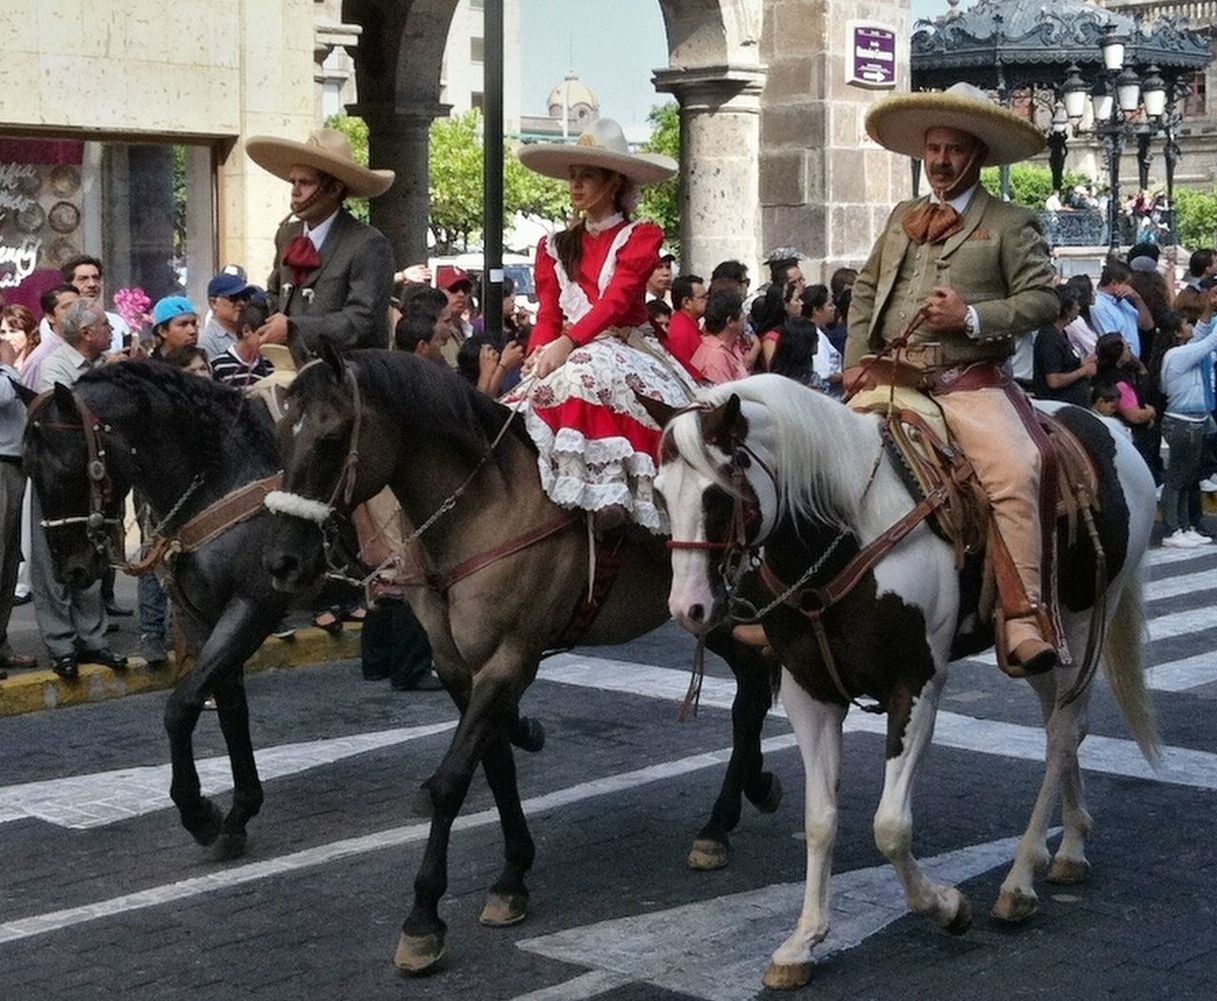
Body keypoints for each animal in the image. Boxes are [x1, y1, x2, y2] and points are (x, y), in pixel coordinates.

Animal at [647, 374, 1158, 992]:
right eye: (658, 494)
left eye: (718, 497)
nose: (689, 608)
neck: (845, 531)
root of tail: (1114, 432)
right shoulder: (809, 693)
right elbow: (820, 821)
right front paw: (802, 943)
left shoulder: (914, 686)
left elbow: (890, 826)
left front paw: (946, 907)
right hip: (1038, 650)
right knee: (1065, 729)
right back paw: (1072, 848)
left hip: (1083, 625)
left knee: (1064, 734)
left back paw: (1020, 880)